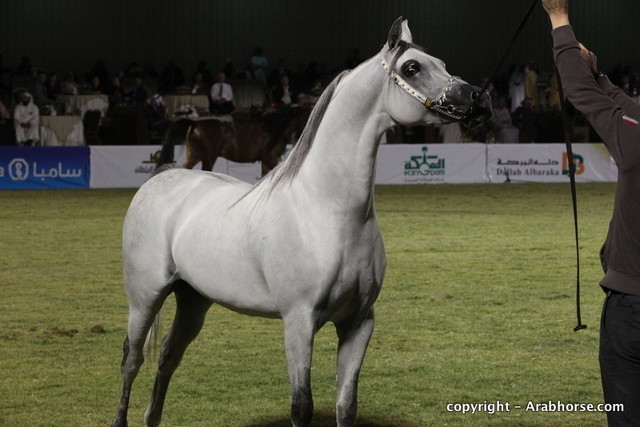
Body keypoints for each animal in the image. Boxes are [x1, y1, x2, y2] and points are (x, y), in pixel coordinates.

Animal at [157, 106, 311, 176]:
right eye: (307, 117)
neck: (273, 128)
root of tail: (195, 123)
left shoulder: (265, 161)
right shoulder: (270, 158)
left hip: (194, 155)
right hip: (208, 158)